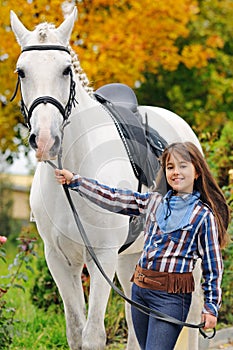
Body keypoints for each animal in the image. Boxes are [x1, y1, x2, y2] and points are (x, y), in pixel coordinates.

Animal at [10, 8, 203, 350]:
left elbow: (93, 336)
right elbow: (76, 332)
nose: (45, 140)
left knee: (190, 315)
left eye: (65, 71)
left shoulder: (101, 255)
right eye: (22, 72)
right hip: (132, 259)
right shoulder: (59, 260)